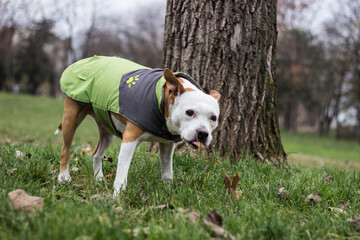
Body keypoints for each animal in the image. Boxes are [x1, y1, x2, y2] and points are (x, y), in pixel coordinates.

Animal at [54, 56, 221, 195]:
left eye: (213, 118)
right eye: (189, 112)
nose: (203, 133)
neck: (162, 101)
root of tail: (86, 60)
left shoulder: (167, 145)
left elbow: (167, 172)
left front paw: (168, 192)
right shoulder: (129, 139)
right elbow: (121, 175)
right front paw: (117, 197)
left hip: (106, 128)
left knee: (96, 154)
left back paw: (99, 178)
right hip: (72, 116)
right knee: (65, 149)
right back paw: (64, 176)